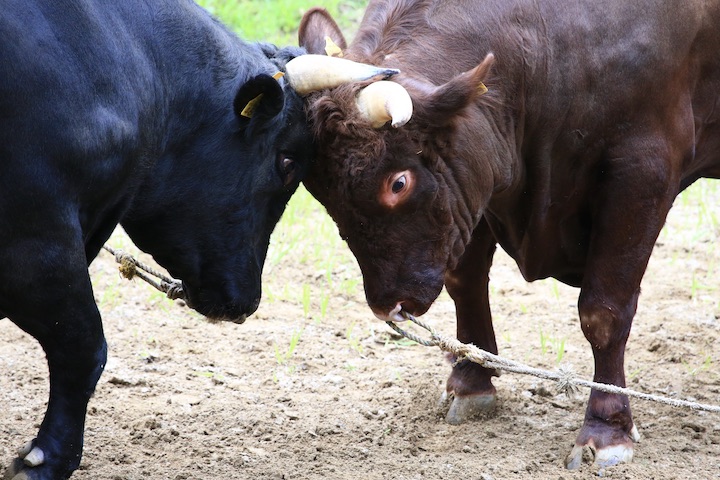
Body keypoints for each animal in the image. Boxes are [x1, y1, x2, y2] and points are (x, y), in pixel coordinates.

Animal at [290, 0, 720, 466]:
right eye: (320, 192)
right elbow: (465, 283)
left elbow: (603, 312)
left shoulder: (642, 169)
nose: (388, 304)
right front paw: (471, 381)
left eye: (398, 183)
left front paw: (606, 429)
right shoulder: (474, 178)